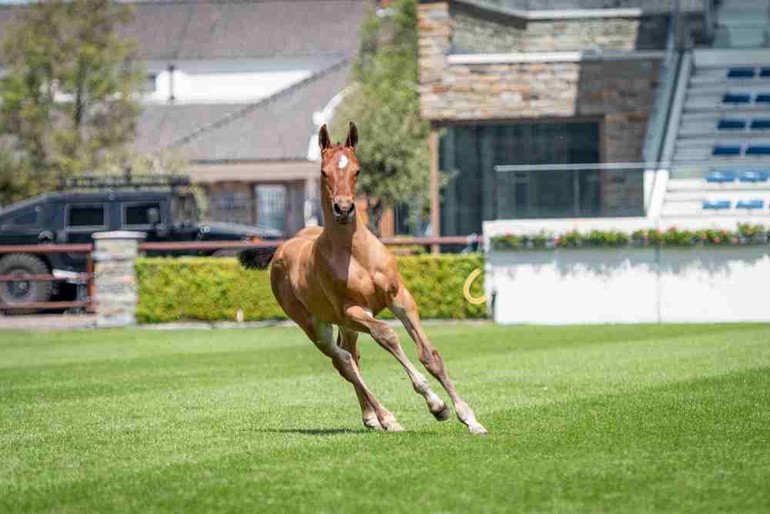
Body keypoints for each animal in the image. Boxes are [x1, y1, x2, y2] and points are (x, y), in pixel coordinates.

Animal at [270, 123, 486, 432]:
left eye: (357, 170)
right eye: (323, 171)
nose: (344, 209)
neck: (357, 255)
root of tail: (281, 250)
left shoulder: (401, 299)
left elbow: (430, 356)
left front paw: (469, 418)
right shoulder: (354, 310)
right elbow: (387, 335)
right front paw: (436, 404)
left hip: (344, 325)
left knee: (350, 356)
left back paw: (371, 417)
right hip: (314, 325)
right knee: (344, 361)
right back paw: (387, 418)